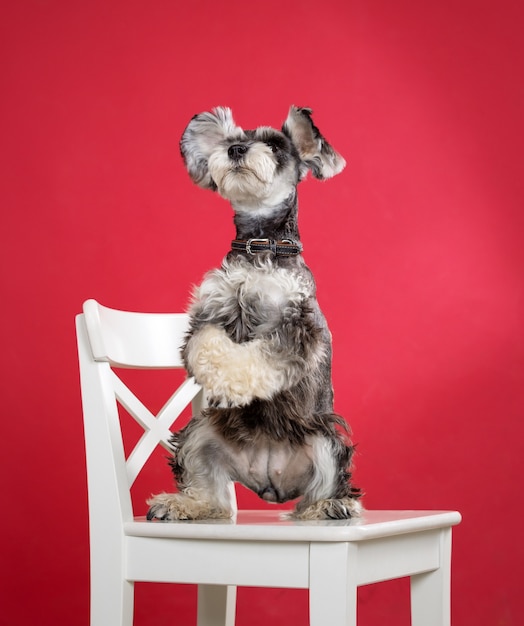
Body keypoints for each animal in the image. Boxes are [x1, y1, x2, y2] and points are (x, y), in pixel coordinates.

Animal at [145, 105, 362, 520]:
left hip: (325, 438)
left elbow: (265, 356)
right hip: (199, 433)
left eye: (275, 145)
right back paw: (181, 503)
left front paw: (234, 386)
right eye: (232, 141)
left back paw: (330, 506)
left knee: (322, 488)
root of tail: (270, 484)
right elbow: (205, 346)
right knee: (209, 492)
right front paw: (221, 380)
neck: (259, 243)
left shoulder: (296, 324)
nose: (236, 150)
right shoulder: (209, 313)